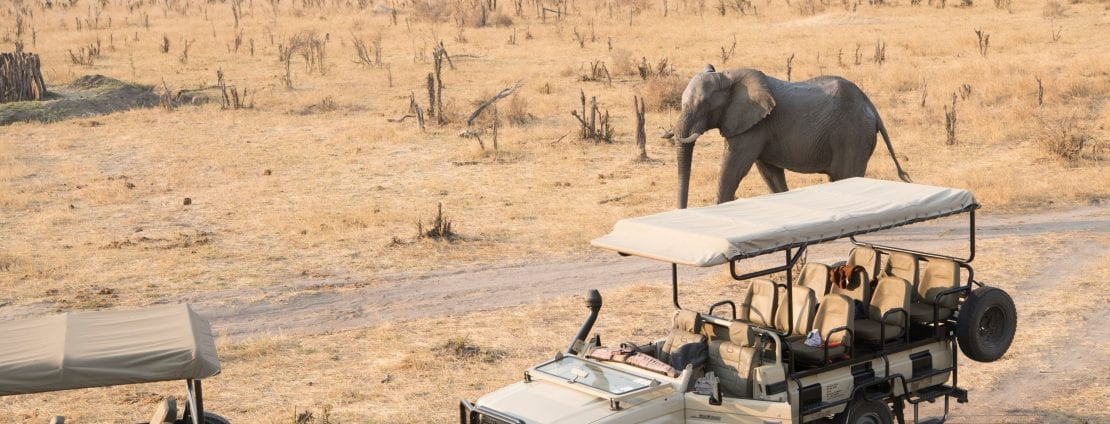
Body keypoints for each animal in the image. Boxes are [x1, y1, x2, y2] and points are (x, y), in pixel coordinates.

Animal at [670, 64, 905, 208]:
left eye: (705, 105)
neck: (728, 76)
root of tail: (872, 107)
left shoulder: (754, 127)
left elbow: (734, 167)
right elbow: (769, 172)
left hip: (853, 135)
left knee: (847, 176)